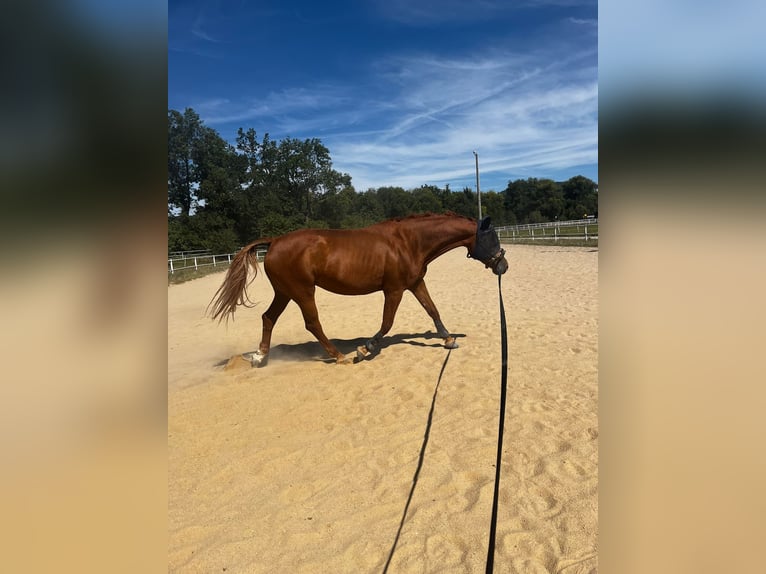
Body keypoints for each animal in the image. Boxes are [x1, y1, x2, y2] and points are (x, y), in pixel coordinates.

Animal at [208, 212, 508, 366]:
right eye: (492, 237)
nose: (503, 265)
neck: (409, 242)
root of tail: (274, 241)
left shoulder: (415, 284)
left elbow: (433, 310)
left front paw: (448, 339)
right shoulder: (394, 290)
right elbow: (387, 323)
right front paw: (365, 349)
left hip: (284, 292)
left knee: (268, 318)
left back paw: (260, 357)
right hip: (302, 292)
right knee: (312, 323)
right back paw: (339, 356)